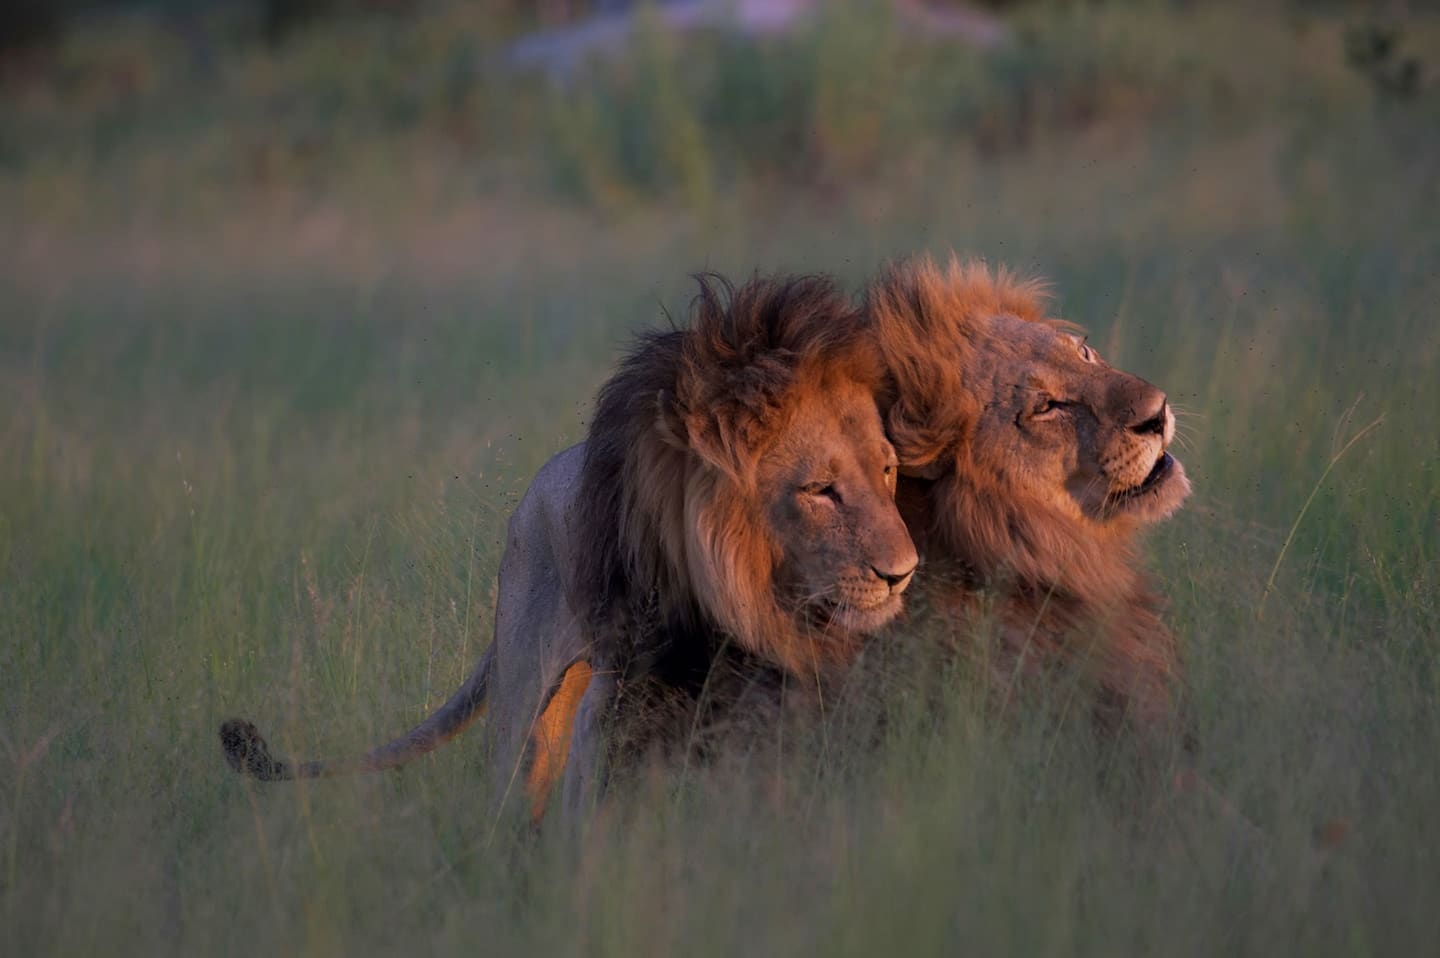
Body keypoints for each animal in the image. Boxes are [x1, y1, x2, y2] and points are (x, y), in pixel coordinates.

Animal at [214, 270, 915, 824]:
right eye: (821, 490)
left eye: (887, 471)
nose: (903, 573)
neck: (748, 603)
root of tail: (529, 499)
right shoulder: (621, 699)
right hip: (527, 708)